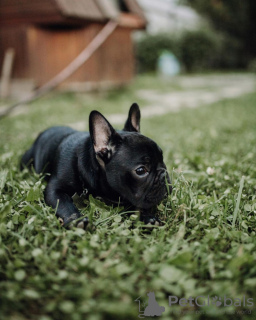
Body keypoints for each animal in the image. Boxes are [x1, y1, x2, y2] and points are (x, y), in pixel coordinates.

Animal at [21, 104, 171, 229]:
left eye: (163, 160)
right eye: (141, 170)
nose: (164, 174)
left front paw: (147, 217)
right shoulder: (54, 189)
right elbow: (63, 202)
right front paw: (76, 220)